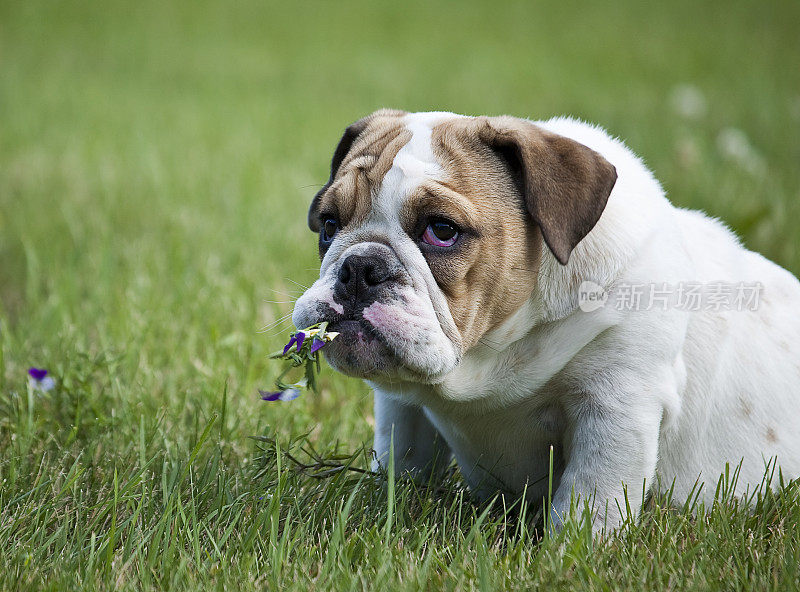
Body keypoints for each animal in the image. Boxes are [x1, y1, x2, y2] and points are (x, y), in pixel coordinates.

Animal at [292, 108, 800, 528]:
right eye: (329, 224)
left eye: (442, 230)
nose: (360, 268)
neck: (492, 355)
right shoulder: (403, 409)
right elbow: (404, 458)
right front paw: (391, 505)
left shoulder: (617, 406)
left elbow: (591, 500)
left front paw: (572, 553)